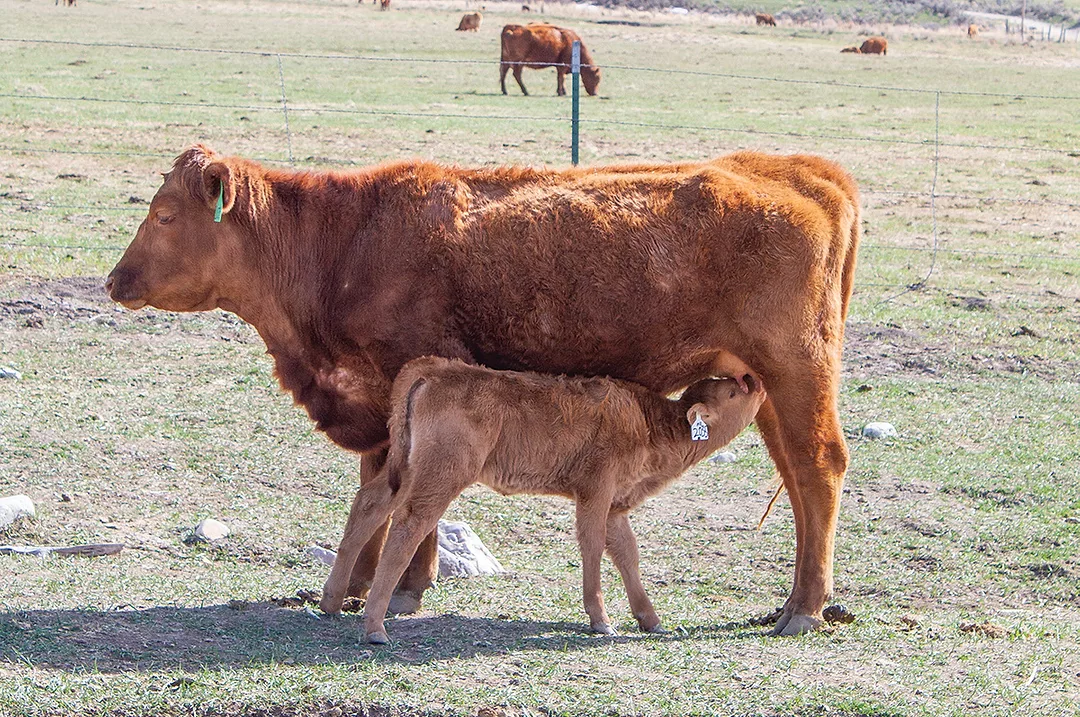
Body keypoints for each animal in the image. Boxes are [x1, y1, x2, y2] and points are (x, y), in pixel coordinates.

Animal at [321, 358, 767, 643]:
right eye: (732, 391)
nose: (754, 378)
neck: (652, 423)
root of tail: (434, 370)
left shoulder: (616, 506)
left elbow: (626, 553)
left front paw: (651, 620)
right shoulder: (595, 492)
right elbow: (593, 546)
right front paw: (601, 620)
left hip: (405, 469)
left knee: (368, 506)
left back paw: (331, 603)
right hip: (441, 476)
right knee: (408, 526)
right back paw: (374, 628)